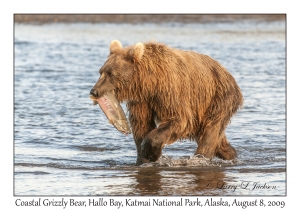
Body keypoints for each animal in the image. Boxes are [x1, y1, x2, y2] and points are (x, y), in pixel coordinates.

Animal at [89, 40, 244, 166]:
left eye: (111, 74)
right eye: (100, 72)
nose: (94, 91)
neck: (149, 82)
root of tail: (227, 73)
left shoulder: (170, 91)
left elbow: (179, 118)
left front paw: (150, 152)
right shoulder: (142, 100)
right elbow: (141, 124)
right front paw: (143, 159)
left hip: (219, 96)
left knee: (211, 130)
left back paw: (200, 158)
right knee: (216, 137)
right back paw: (231, 153)